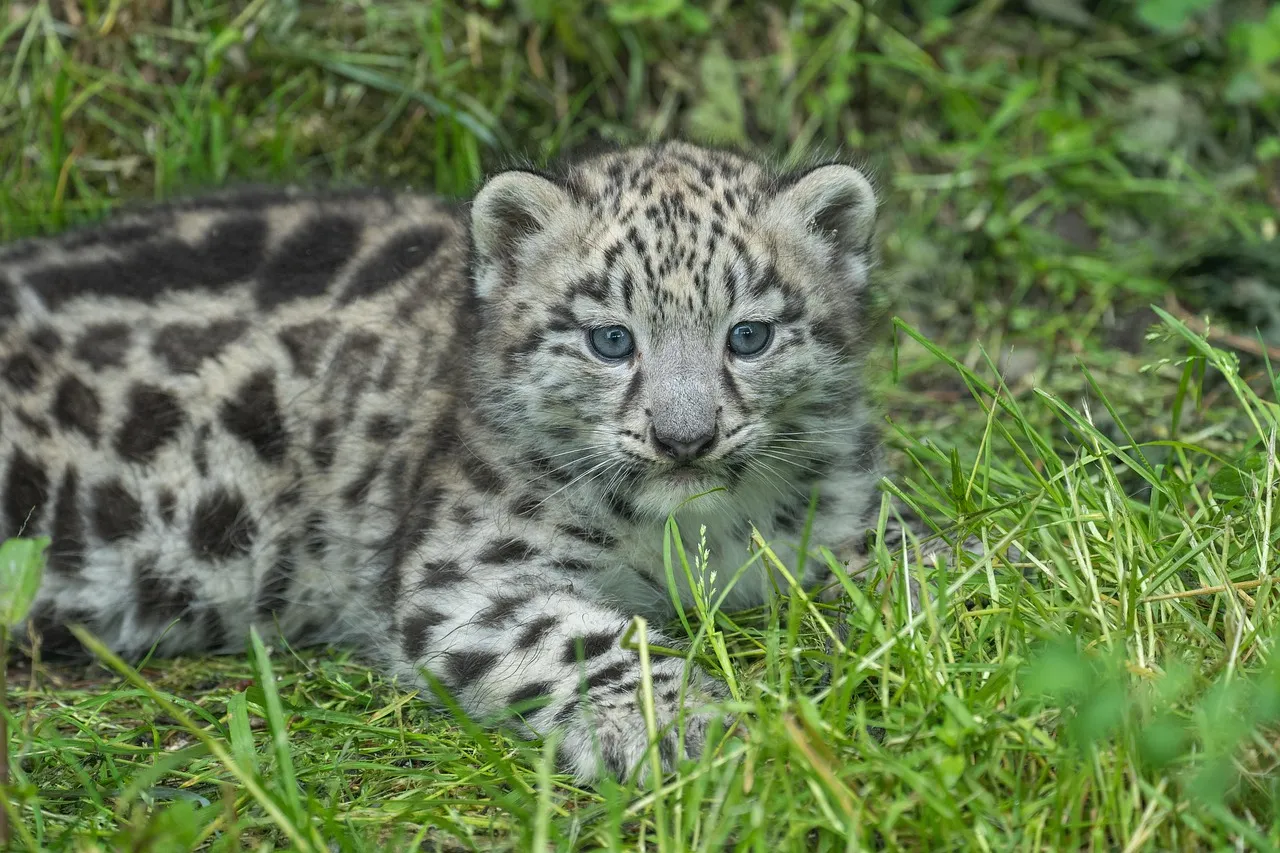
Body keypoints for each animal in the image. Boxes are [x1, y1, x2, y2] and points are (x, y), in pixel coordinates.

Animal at [0, 141, 922, 783]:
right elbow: (583, 643)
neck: (695, 537)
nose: (684, 438)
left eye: (749, 335)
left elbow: (922, 561)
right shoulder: (471, 571)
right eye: (611, 340)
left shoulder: (845, 509)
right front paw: (691, 724)